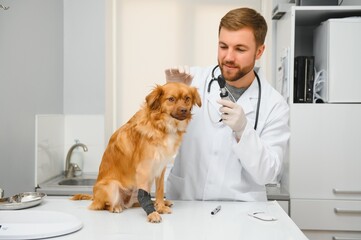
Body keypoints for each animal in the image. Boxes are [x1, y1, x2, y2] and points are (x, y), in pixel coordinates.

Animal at [70, 81, 200, 222]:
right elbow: (145, 196)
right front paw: (153, 213)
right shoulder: (144, 168)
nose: (184, 110)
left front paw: (160, 206)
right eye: (171, 99)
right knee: (104, 205)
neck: (161, 126)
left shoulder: (160, 167)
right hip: (112, 186)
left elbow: (160, 190)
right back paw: (116, 207)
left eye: (187, 99)